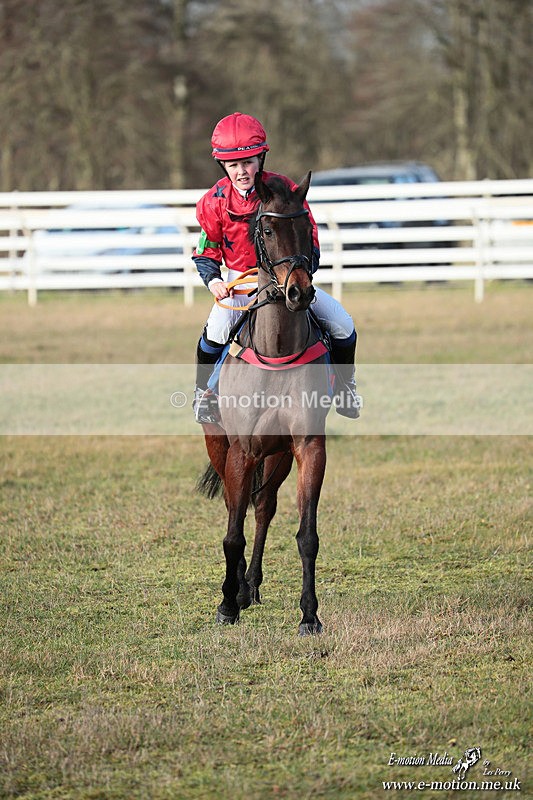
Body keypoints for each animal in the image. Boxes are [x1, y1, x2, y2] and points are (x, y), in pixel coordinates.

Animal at [197, 170, 331, 635]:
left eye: (307, 227)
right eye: (268, 230)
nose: (299, 292)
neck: (276, 351)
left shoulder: (307, 447)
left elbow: (307, 535)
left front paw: (309, 614)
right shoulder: (242, 449)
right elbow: (230, 534)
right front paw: (225, 605)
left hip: (277, 458)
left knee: (262, 508)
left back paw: (250, 586)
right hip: (221, 447)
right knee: (235, 508)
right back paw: (237, 590)